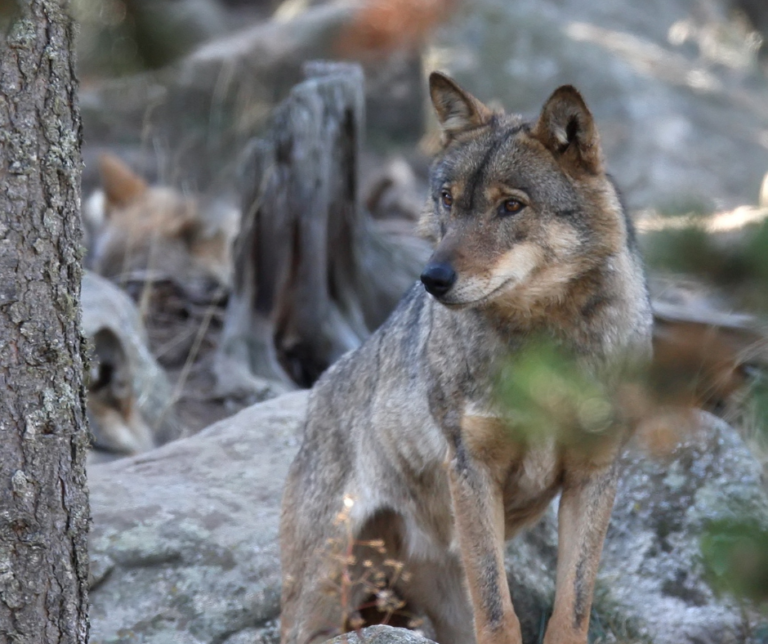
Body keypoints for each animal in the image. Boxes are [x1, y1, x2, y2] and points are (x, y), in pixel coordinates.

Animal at [279, 72, 653, 644]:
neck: (541, 354)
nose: (431, 279)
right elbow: (499, 613)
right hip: (321, 586)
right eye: (448, 199)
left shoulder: (594, 475)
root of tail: (319, 388)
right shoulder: (472, 468)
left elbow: (573, 608)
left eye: (512, 206)